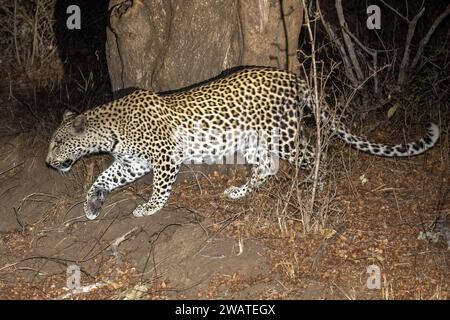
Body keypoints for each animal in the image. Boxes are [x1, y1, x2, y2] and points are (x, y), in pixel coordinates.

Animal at [45, 66, 440, 221]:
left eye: (58, 143)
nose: (48, 163)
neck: (110, 130)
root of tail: (292, 76)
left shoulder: (164, 157)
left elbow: (160, 187)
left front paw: (150, 208)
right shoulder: (132, 162)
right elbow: (103, 179)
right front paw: (92, 205)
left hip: (287, 135)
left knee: (316, 153)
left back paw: (316, 186)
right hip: (251, 140)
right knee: (267, 167)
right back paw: (239, 192)